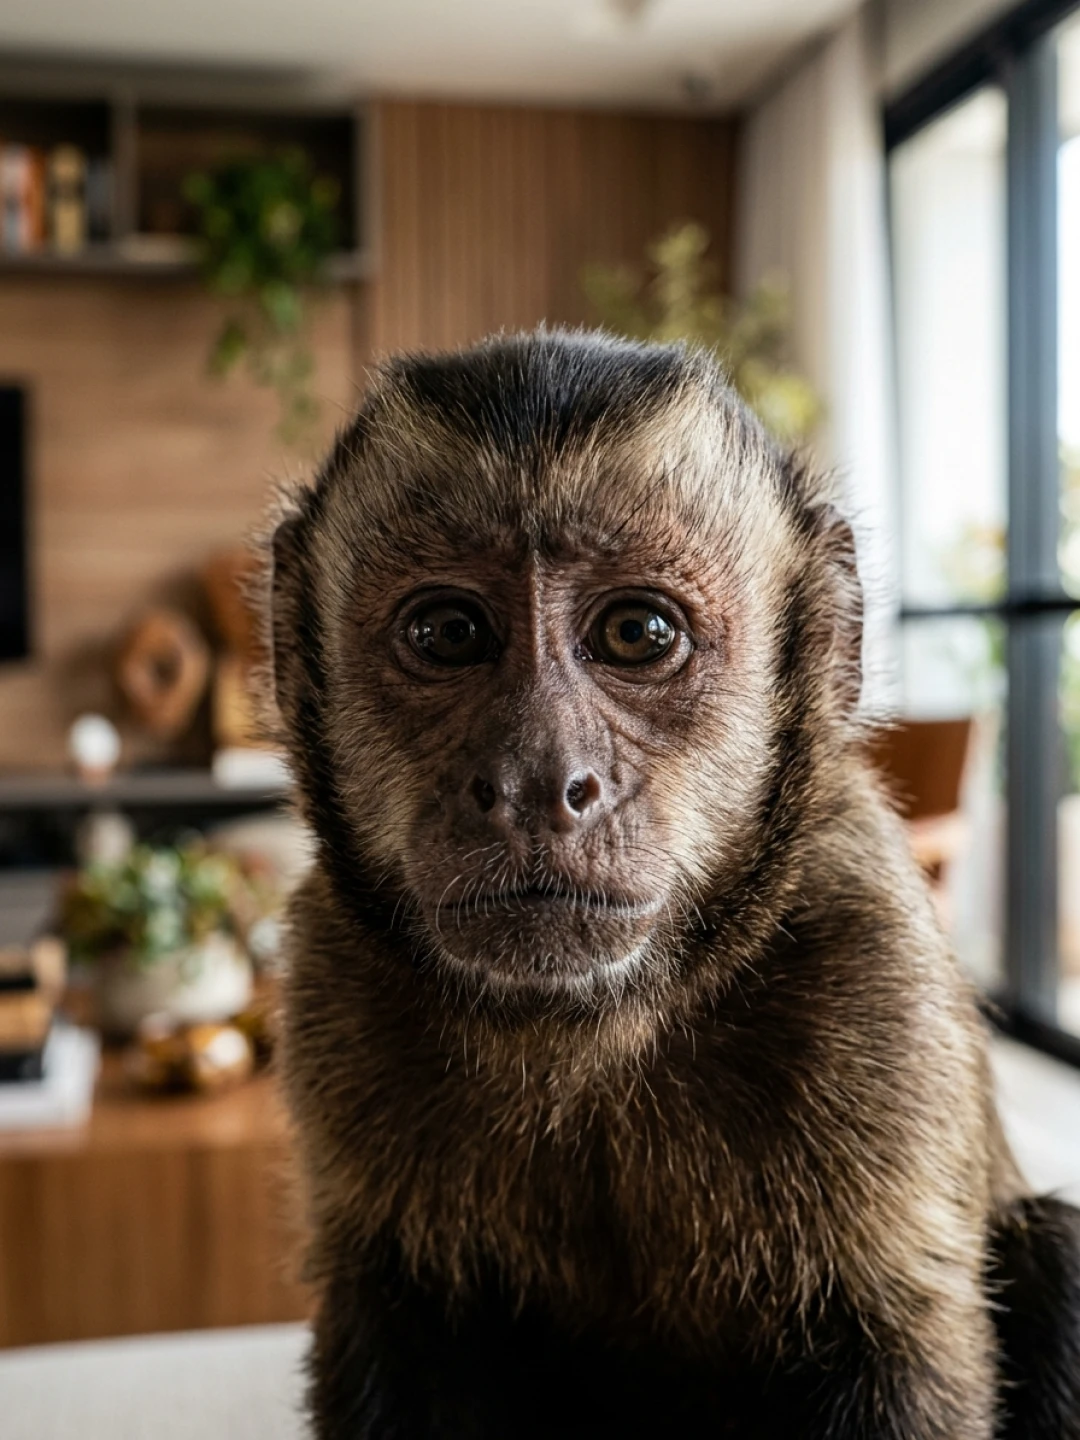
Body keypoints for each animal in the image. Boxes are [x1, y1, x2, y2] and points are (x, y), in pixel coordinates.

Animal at [266, 329, 1080, 1439]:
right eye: (448, 634)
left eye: (638, 634)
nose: (540, 778)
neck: (590, 1036)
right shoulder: (332, 984)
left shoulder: (872, 962)